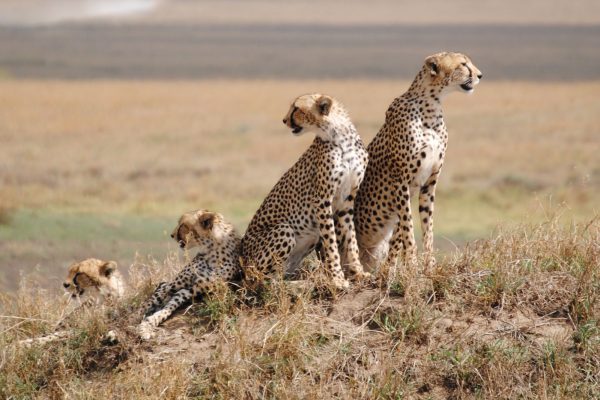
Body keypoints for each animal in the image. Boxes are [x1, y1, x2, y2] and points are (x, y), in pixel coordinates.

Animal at [139, 211, 243, 340]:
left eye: (182, 225)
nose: (172, 235)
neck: (212, 249)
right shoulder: (180, 284)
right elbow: (150, 301)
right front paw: (137, 319)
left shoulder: (193, 289)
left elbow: (170, 306)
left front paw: (150, 322)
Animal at [241, 93, 368, 288]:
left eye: (296, 108)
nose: (284, 120)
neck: (340, 137)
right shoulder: (322, 200)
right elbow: (331, 243)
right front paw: (337, 278)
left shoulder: (347, 202)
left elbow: (351, 239)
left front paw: (358, 272)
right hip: (284, 230)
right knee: (260, 281)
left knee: (276, 277)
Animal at [356, 52, 482, 272]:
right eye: (463, 64)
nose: (480, 75)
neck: (431, 106)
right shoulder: (401, 182)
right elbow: (408, 226)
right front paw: (412, 264)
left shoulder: (429, 184)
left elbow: (425, 227)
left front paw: (427, 265)